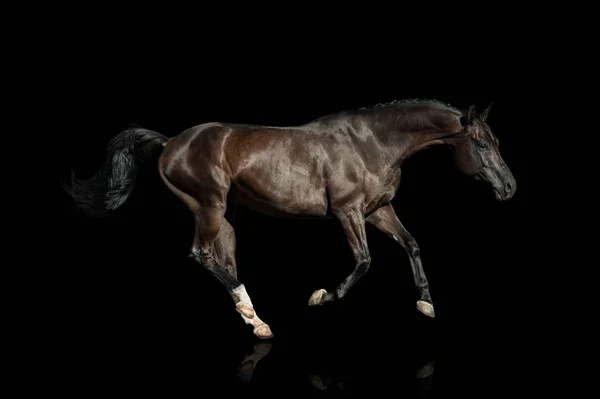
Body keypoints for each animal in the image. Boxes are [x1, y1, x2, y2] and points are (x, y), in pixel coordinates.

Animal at [64, 98, 516, 340]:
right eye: (480, 144)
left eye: (495, 140)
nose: (510, 188)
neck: (372, 143)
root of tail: (170, 142)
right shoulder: (348, 212)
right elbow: (364, 261)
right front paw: (321, 297)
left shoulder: (378, 210)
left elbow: (412, 244)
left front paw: (426, 303)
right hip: (207, 205)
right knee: (201, 255)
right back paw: (252, 313)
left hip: (225, 216)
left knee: (224, 259)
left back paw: (256, 320)